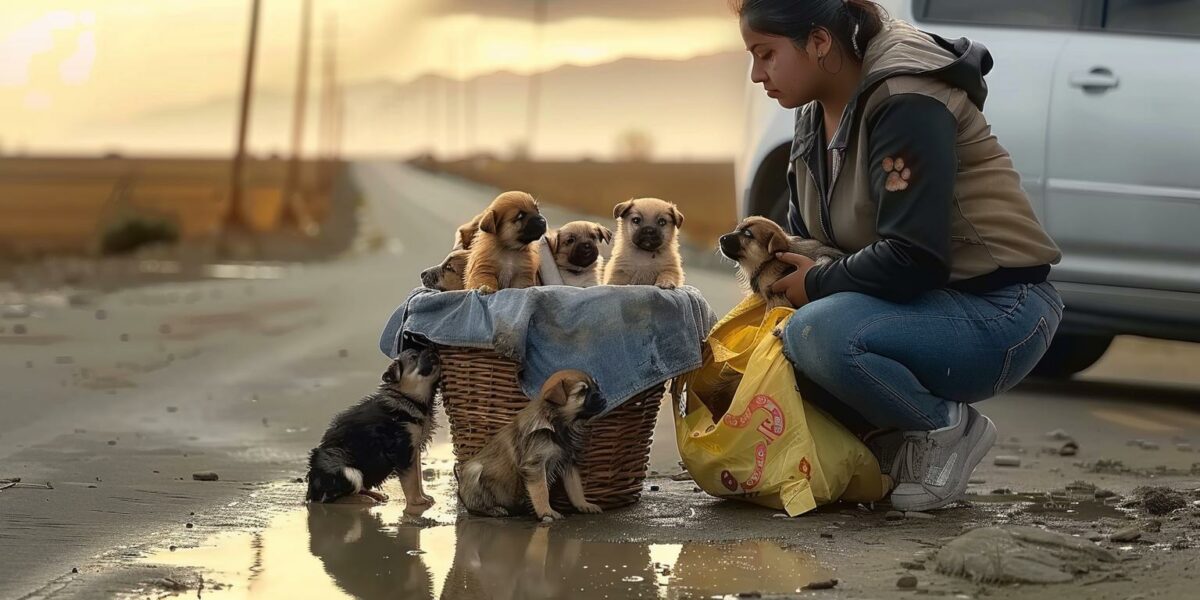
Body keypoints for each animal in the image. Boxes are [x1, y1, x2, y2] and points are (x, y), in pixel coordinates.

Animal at [307, 350, 444, 513]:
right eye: (413, 357)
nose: (433, 350)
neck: (406, 398)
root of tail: (311, 491)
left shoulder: (414, 450)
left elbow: (418, 477)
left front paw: (424, 496)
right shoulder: (402, 451)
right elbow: (411, 482)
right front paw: (417, 502)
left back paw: (375, 495)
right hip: (348, 471)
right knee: (332, 499)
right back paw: (364, 499)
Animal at [458, 369, 609, 520]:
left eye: (597, 386)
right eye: (583, 391)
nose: (603, 396)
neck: (556, 423)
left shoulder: (568, 463)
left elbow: (576, 488)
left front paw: (584, 504)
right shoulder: (535, 465)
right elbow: (542, 491)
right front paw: (546, 511)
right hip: (474, 470)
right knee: (474, 507)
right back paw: (494, 510)